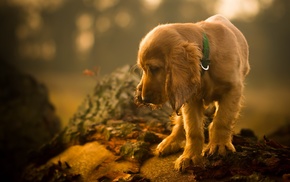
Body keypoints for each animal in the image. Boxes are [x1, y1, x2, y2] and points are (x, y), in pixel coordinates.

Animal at [134, 14, 249, 172]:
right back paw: (171, 141)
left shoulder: (232, 89)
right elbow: (192, 129)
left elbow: (222, 119)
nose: (144, 99)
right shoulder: (191, 98)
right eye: (143, 69)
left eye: (154, 68)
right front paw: (189, 157)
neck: (206, 63)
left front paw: (219, 146)